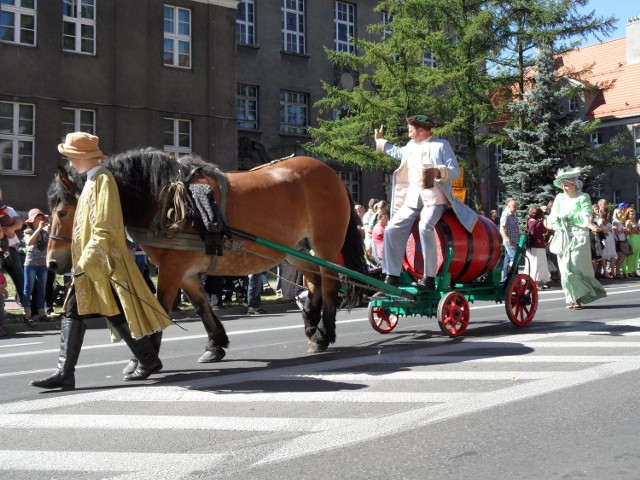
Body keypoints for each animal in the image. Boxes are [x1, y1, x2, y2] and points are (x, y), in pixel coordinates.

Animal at [46, 148, 364, 362]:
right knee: (314, 284)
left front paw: (143, 359)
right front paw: (215, 345)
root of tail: (334, 174)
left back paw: (324, 333)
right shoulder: (184, 271)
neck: (165, 200)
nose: (52, 262)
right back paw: (312, 324)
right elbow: (201, 306)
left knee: (331, 285)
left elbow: (162, 307)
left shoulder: (172, 269)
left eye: (63, 212)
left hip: (324, 246)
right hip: (297, 250)